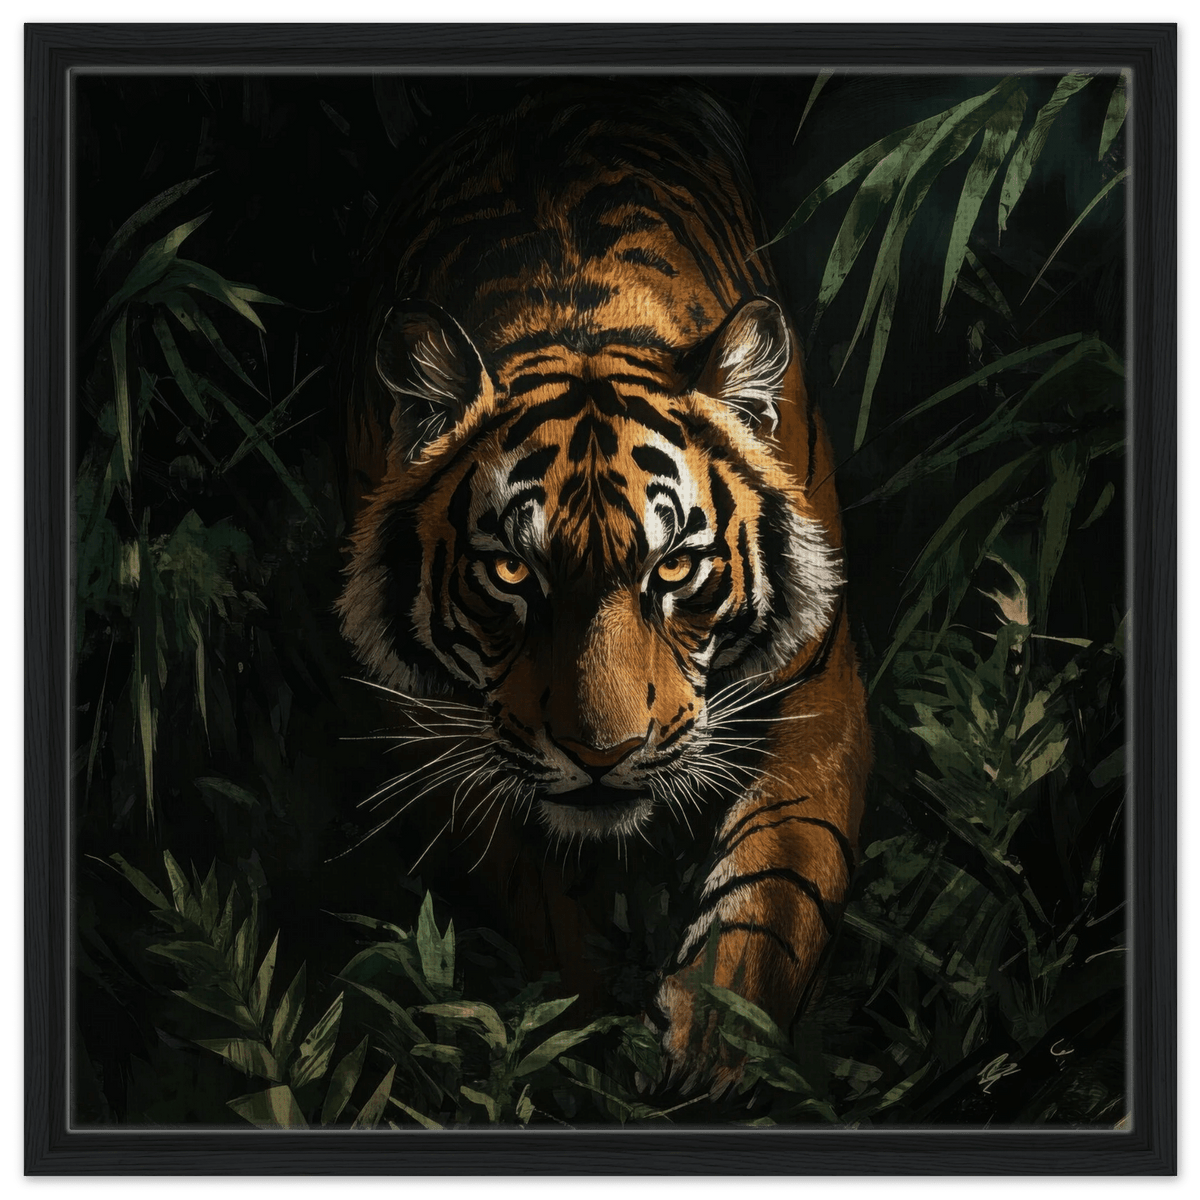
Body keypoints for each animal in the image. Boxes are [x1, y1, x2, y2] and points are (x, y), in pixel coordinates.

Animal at [336, 82, 871, 1091]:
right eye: (513, 571)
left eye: (674, 567)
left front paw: (711, 1045)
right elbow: (546, 916)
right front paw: (573, 1044)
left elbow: (775, 892)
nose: (601, 754)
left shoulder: (816, 694)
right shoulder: (441, 732)